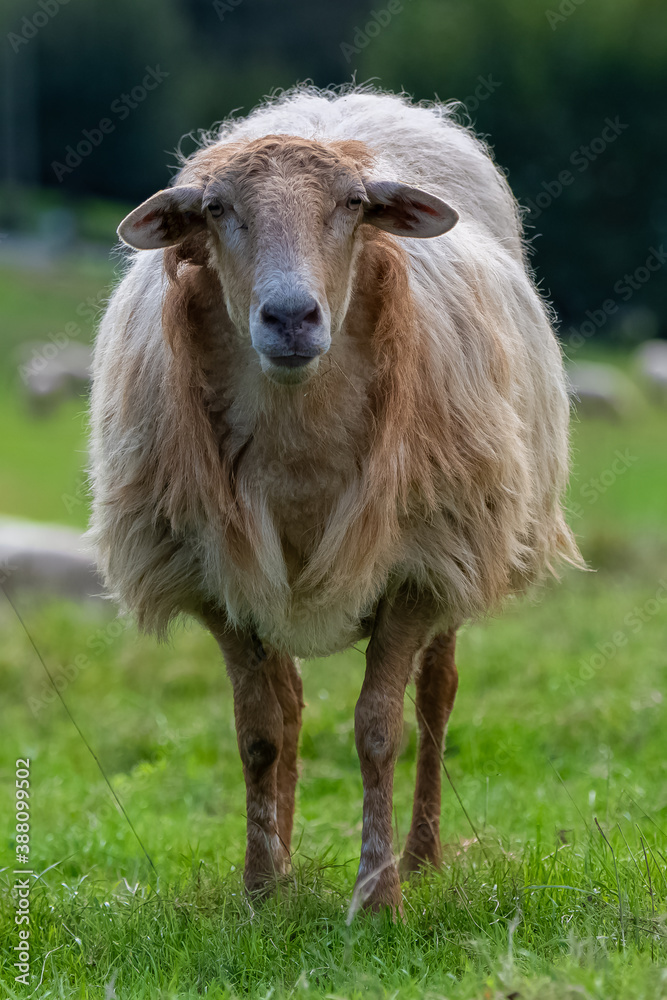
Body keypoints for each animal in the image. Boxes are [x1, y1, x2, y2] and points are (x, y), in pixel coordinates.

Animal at [89, 85, 582, 913]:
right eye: (216, 209)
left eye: (353, 205)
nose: (291, 317)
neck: (298, 440)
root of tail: (341, 100)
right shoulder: (219, 580)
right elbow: (258, 730)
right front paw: (260, 889)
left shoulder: (416, 568)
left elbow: (379, 728)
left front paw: (378, 897)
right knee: (288, 706)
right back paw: (287, 866)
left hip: (460, 540)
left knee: (436, 696)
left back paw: (422, 857)